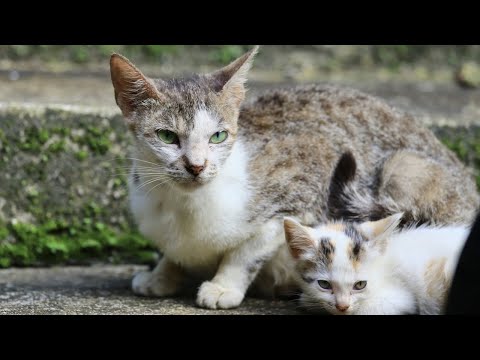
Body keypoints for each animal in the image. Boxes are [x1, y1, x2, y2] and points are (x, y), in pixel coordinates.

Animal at [109, 45, 480, 310]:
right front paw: (161, 275)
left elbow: (246, 252)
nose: (196, 166)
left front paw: (224, 285)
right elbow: (174, 251)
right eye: (167, 136)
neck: (183, 205)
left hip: (400, 167)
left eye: (218, 136)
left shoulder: (304, 186)